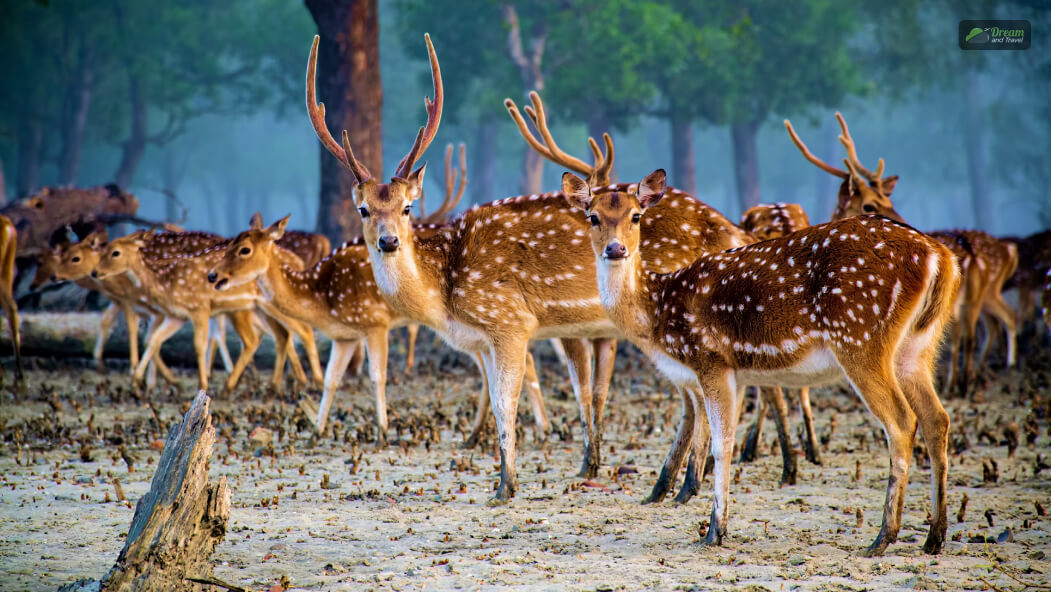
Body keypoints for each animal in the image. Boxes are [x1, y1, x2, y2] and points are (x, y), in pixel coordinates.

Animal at [92, 231, 321, 393]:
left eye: (115, 252)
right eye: (104, 250)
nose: (95, 272)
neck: (165, 282)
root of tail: (299, 262)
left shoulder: (200, 307)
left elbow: (198, 345)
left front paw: (202, 384)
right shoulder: (176, 315)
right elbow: (154, 340)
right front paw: (136, 382)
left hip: (269, 306)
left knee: (301, 331)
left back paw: (310, 383)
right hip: (259, 308)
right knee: (279, 336)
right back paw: (272, 387)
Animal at [304, 33, 756, 500]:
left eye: (407, 208)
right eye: (362, 209)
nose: (388, 241)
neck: (447, 293)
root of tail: (731, 230)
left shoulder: (509, 321)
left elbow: (507, 403)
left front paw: (506, 485)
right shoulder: (487, 339)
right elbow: (511, 397)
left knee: (697, 397)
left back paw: (683, 483)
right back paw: (675, 484)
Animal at [567, 169, 962, 559]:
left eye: (636, 216)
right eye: (593, 216)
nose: (615, 249)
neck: (659, 312)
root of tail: (941, 257)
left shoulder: (710, 359)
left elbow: (722, 444)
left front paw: (715, 531)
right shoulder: (737, 374)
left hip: (861, 336)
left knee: (901, 422)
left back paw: (883, 537)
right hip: (918, 347)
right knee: (937, 418)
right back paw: (934, 536)